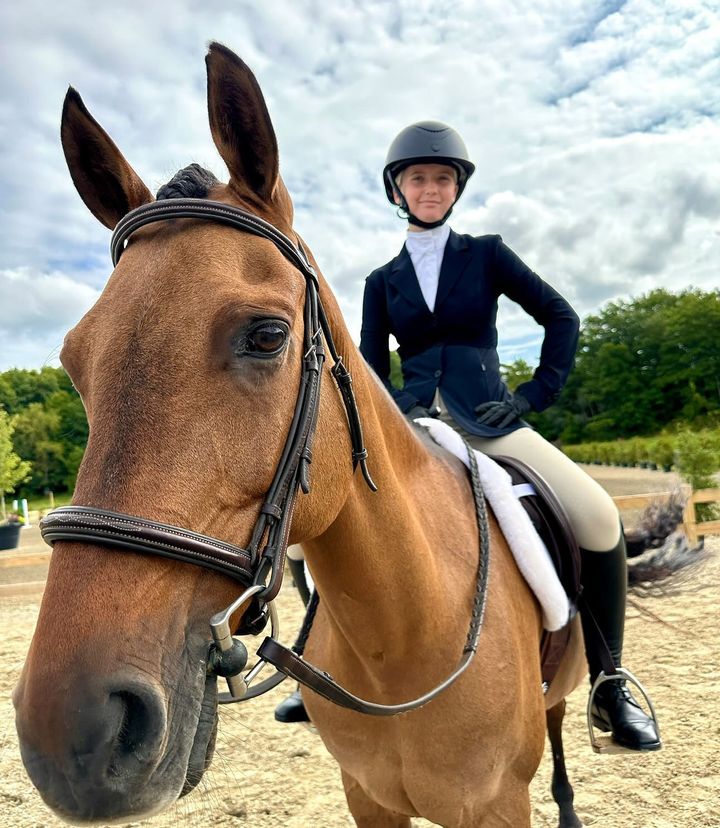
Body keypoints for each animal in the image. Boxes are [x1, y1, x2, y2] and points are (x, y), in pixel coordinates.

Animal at [14, 42, 593, 827]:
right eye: (75, 361)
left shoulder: (497, 805)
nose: (72, 733)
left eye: (267, 335)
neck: (404, 642)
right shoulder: (368, 796)